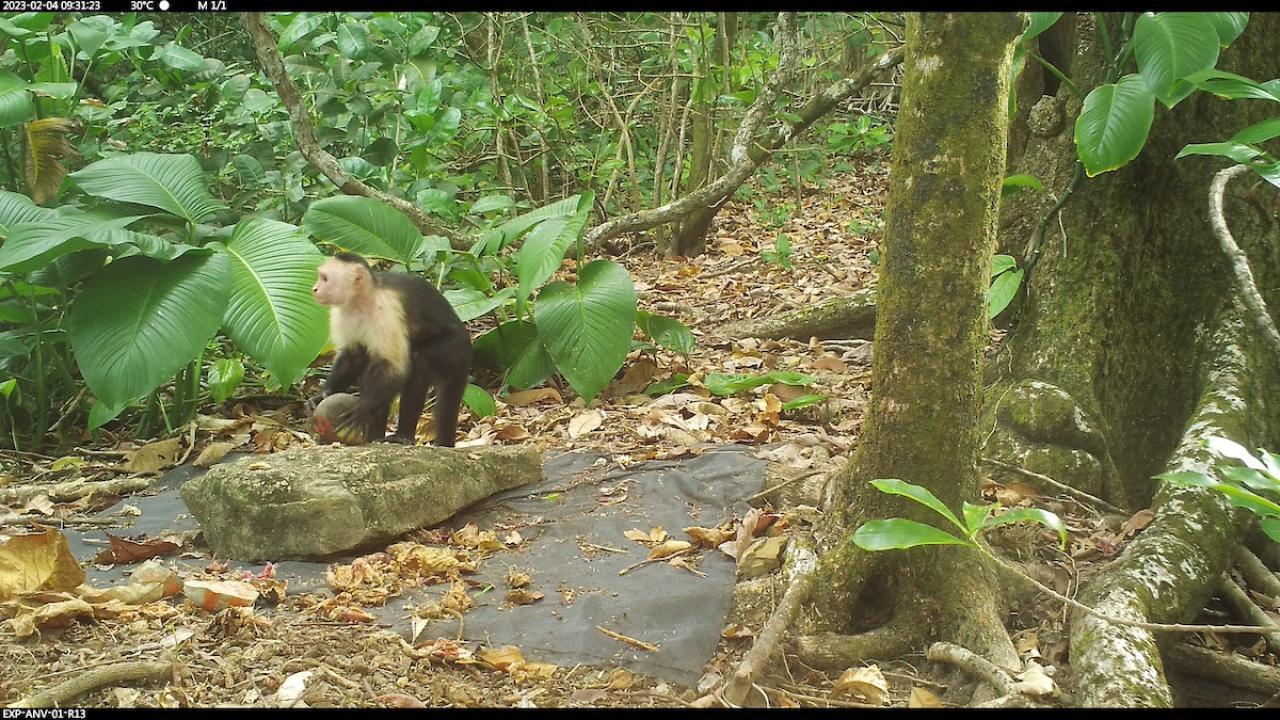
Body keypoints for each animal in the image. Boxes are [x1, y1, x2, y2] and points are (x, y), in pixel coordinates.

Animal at [308, 251, 471, 443]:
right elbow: (352, 356)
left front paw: (363, 409)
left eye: (325, 278)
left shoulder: (385, 311)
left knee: (419, 363)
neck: (361, 300)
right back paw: (375, 437)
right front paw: (323, 395)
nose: (314, 289)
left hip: (454, 348)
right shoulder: (343, 311)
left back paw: (403, 435)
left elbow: (395, 368)